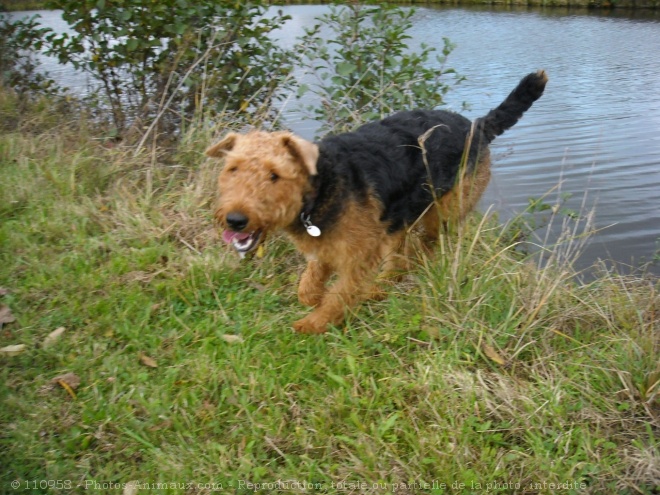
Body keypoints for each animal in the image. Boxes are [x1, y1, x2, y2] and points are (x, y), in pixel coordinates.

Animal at [206, 70, 548, 334]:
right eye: (232, 168)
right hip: (398, 222)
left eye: (274, 175)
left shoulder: (359, 255)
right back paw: (379, 288)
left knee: (421, 251)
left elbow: (339, 294)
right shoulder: (329, 247)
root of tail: (477, 125)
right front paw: (314, 298)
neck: (320, 189)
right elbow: (310, 283)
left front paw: (314, 323)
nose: (235, 219)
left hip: (442, 213)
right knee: (400, 260)